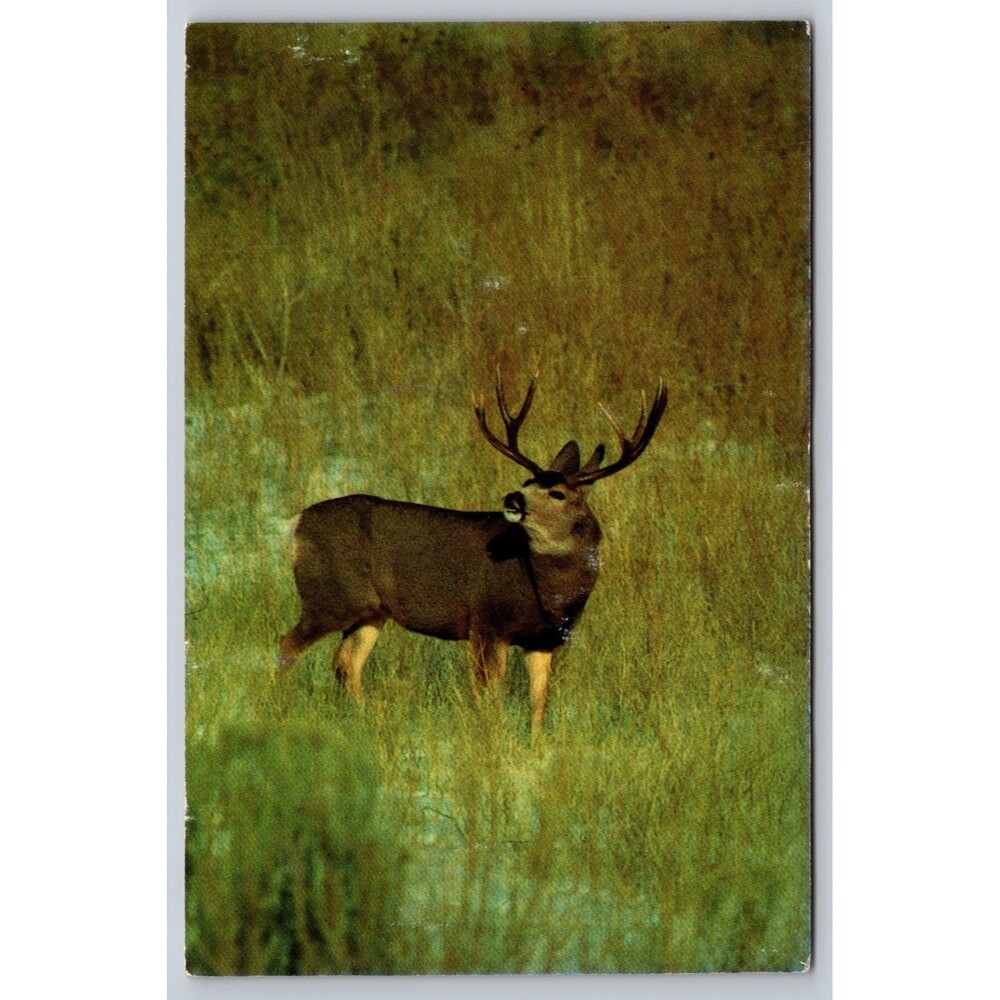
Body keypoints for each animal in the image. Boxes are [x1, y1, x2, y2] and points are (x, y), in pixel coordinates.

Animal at [278, 371, 667, 736]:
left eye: (557, 493)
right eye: (527, 482)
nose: (513, 498)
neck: (548, 590)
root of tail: (296, 524)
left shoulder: (544, 640)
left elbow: (539, 703)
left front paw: (535, 746)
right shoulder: (487, 622)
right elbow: (489, 695)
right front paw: (492, 738)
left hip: (369, 611)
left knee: (346, 664)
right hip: (328, 597)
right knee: (287, 645)